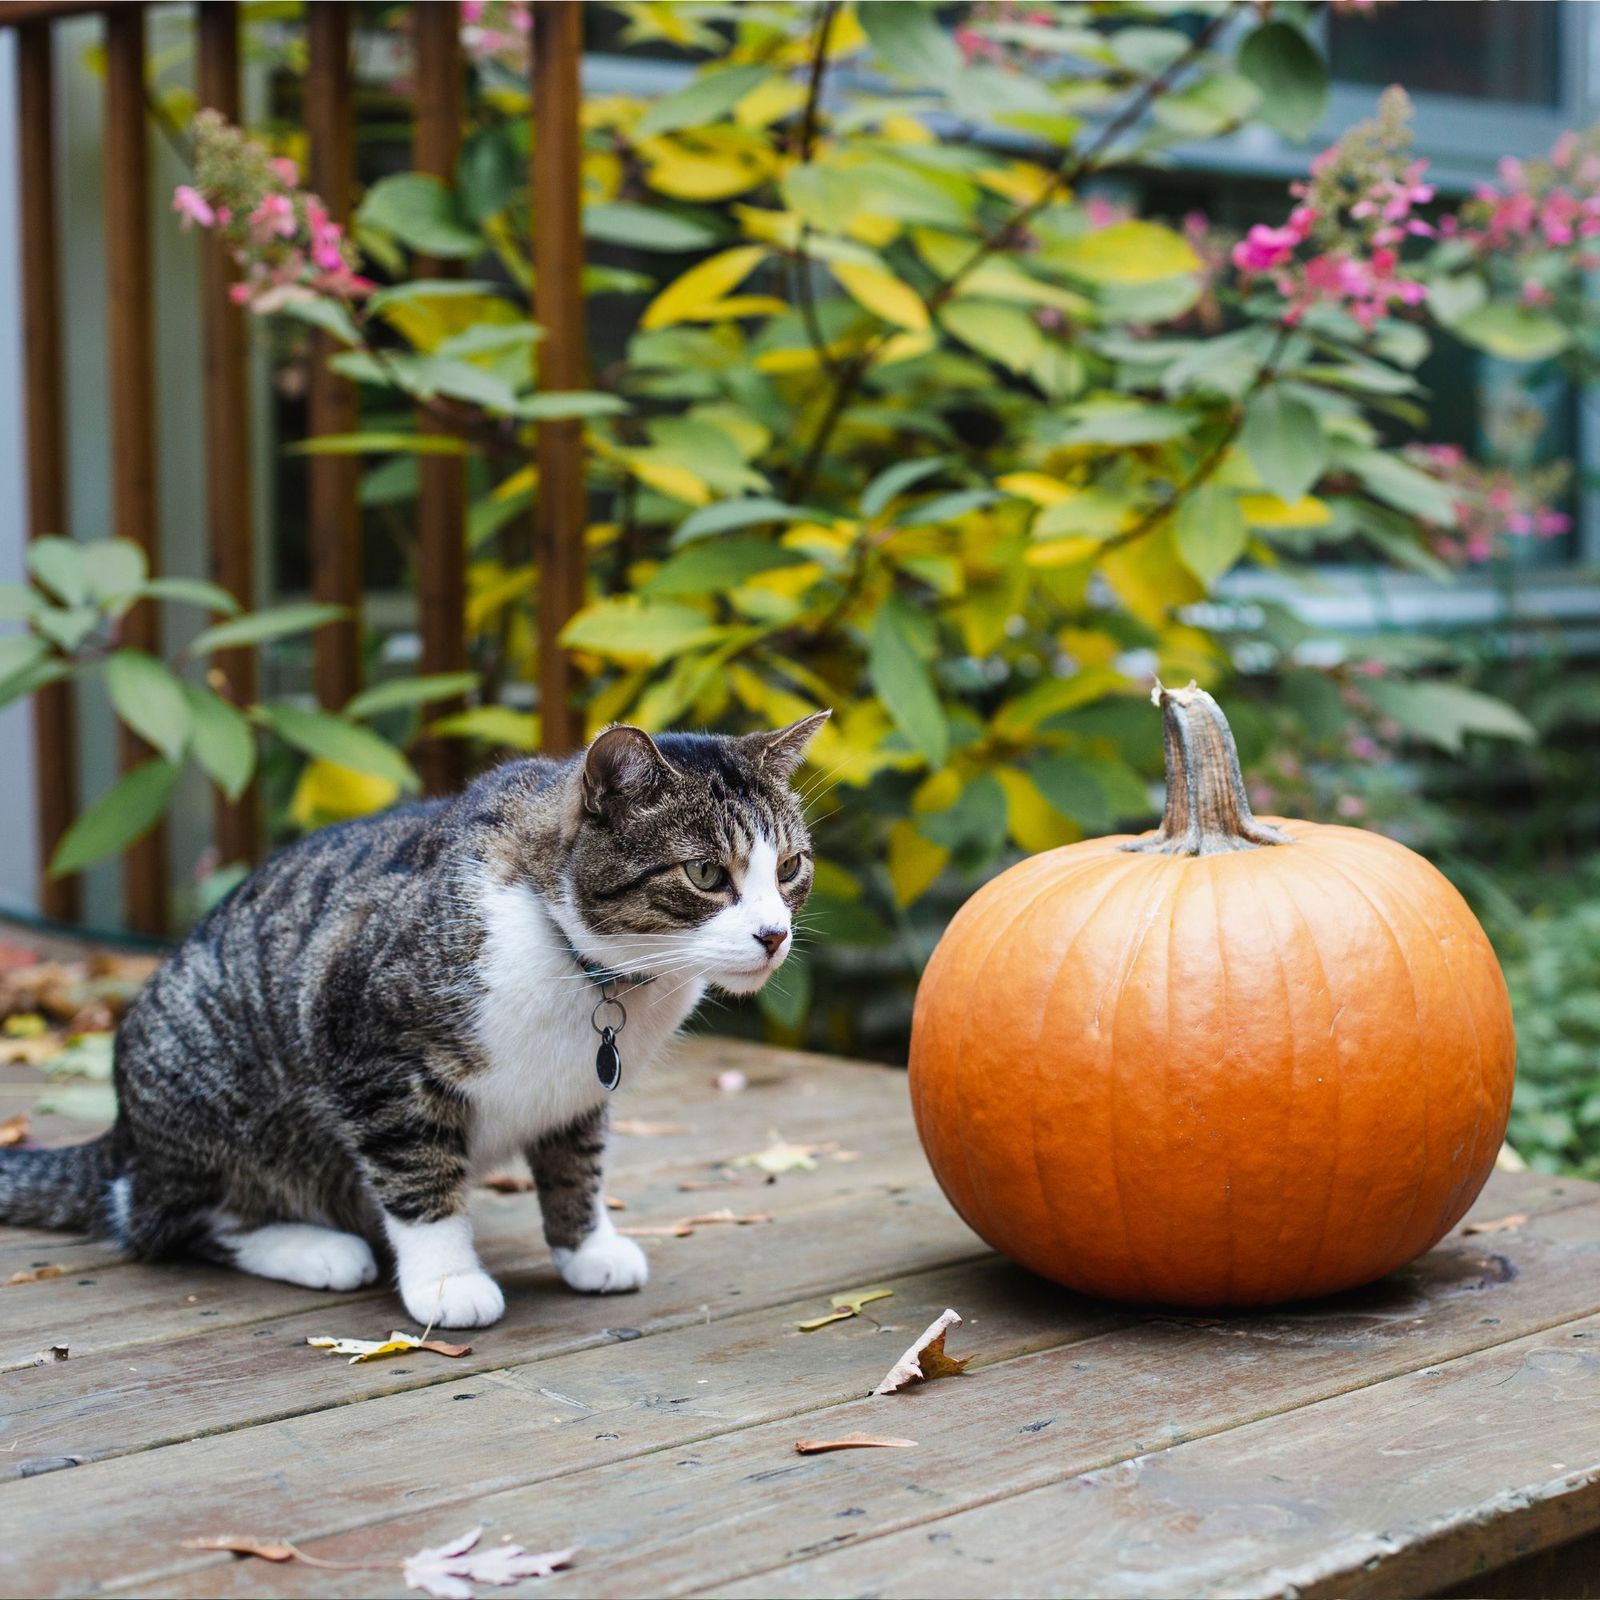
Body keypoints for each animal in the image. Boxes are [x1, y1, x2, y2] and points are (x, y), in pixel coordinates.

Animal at [0, 720, 825, 1331]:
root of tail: (123, 1136)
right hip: (210, 1092)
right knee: (166, 1219)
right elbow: (420, 1177)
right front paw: (448, 1280)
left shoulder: (579, 1091)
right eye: (707, 875)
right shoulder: (368, 1050)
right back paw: (317, 1250)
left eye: (790, 868)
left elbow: (577, 1169)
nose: (774, 935)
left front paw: (586, 1249)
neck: (592, 970)